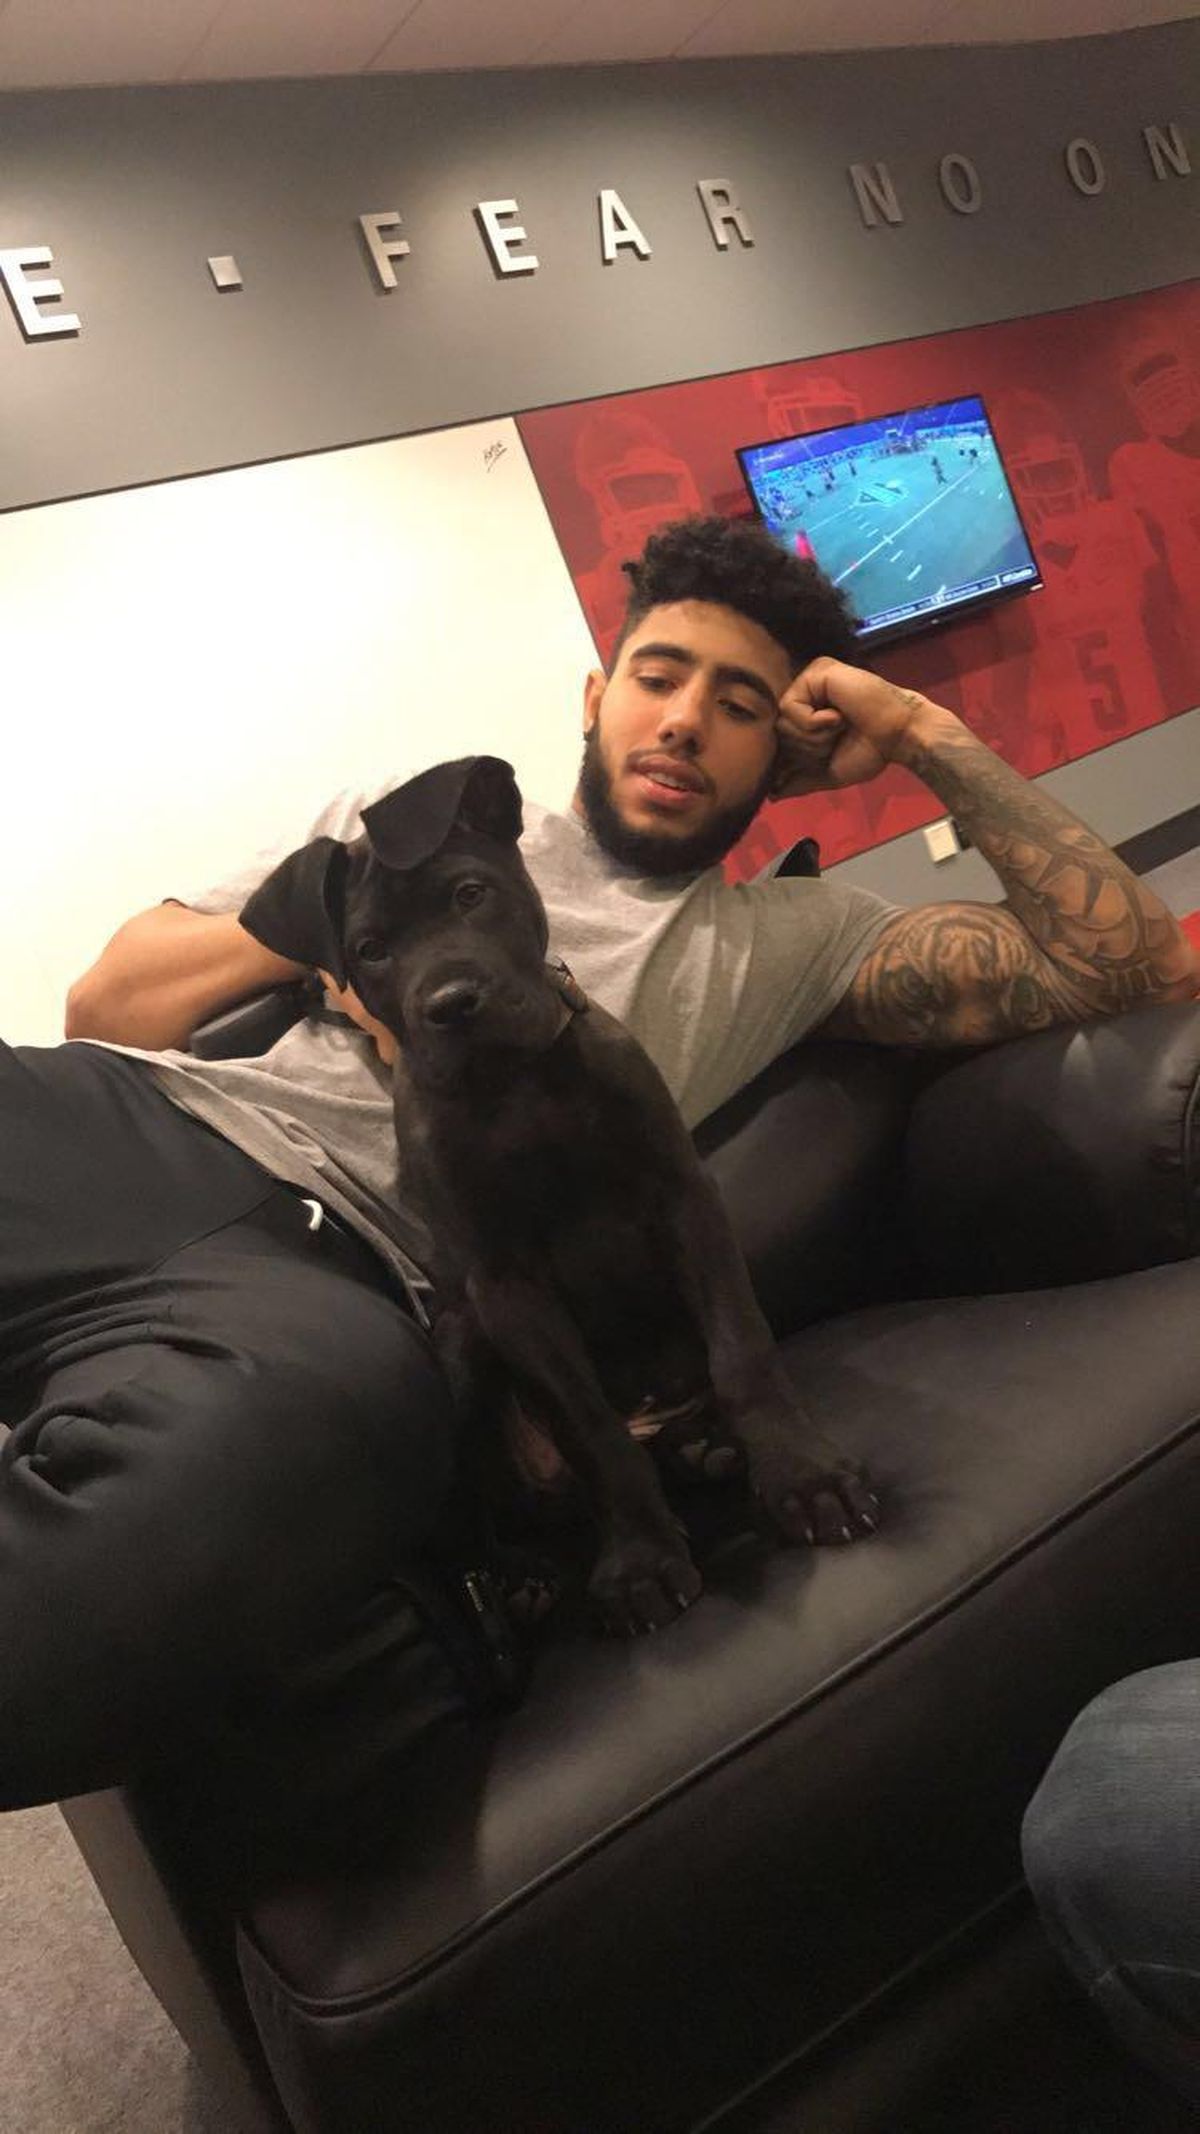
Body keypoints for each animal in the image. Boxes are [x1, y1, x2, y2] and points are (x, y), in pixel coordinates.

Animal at [240, 755, 879, 1630]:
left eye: (470, 894)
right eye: (369, 950)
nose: (450, 1006)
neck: (517, 1088)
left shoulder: (686, 1201)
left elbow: (742, 1349)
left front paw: (802, 1475)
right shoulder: (506, 1285)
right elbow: (590, 1428)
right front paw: (641, 1556)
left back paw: (707, 1445)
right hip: (463, 1341)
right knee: (480, 1507)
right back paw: (521, 1573)